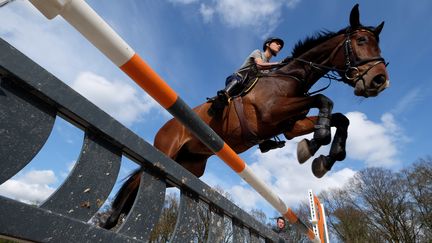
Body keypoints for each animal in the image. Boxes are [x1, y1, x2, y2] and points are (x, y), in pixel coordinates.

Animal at [101, 4, 392, 230]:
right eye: (361, 41)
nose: (380, 81)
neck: (291, 78)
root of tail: (166, 125)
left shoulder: (290, 124)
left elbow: (341, 118)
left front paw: (324, 158)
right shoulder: (273, 113)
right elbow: (324, 101)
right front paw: (315, 143)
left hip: (188, 166)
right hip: (167, 151)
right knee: (136, 179)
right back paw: (111, 218)